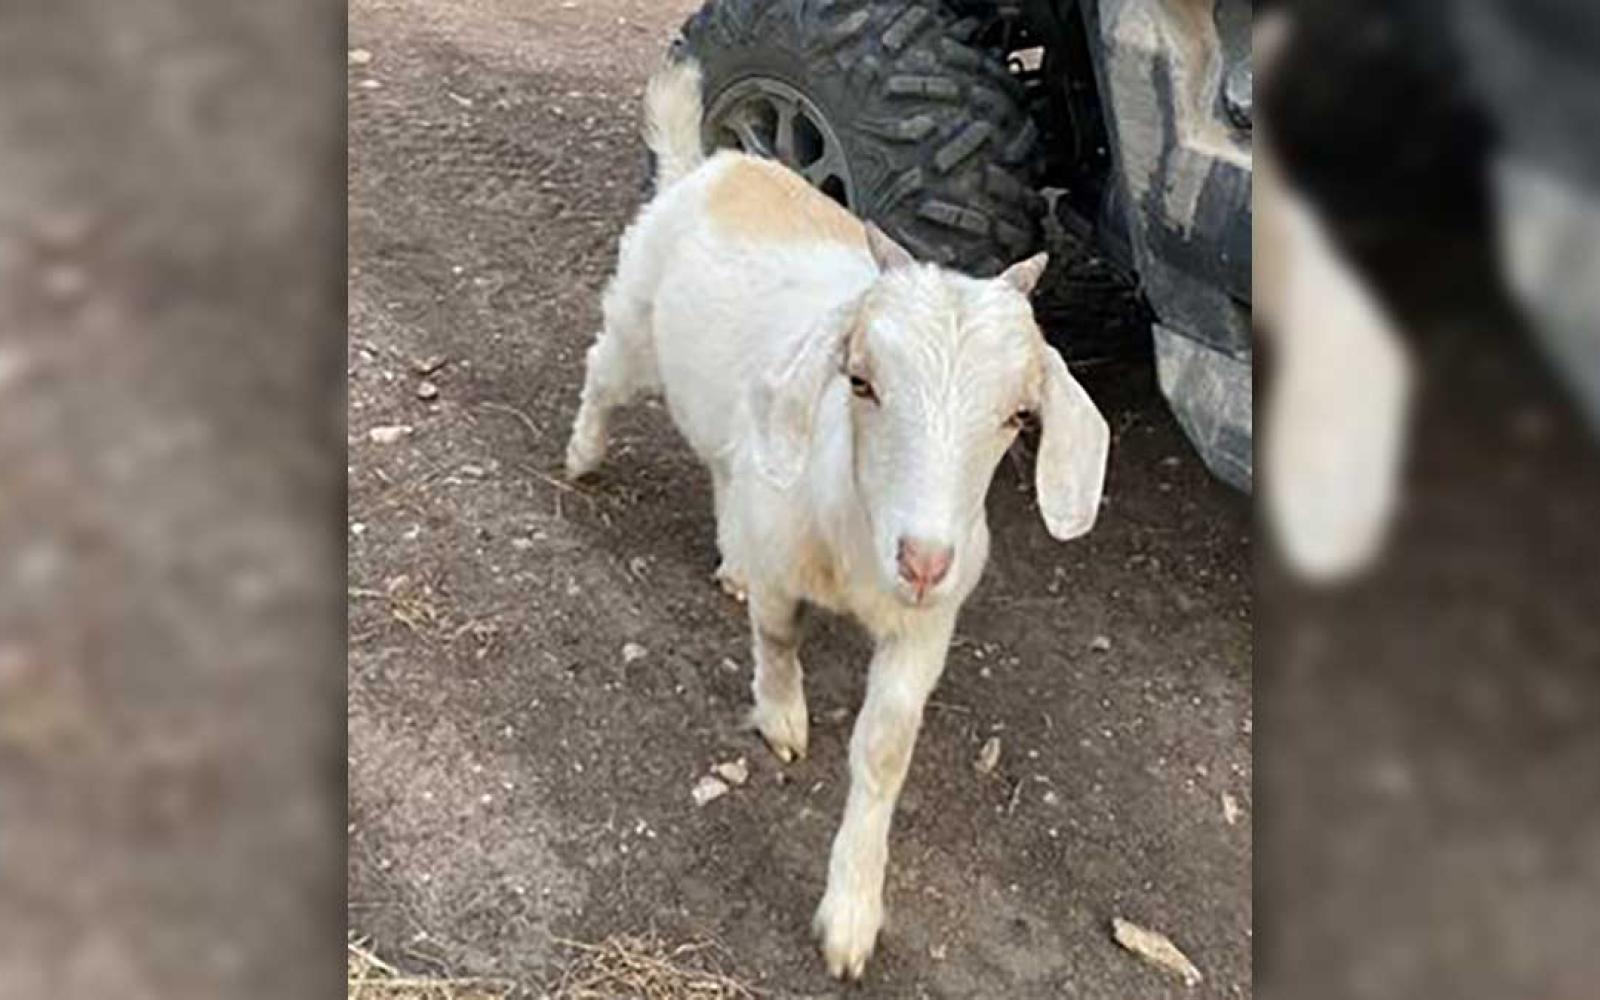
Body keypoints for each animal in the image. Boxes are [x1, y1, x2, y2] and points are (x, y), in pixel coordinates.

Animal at [565, 59, 1110, 980]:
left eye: (1016, 418)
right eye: (861, 381)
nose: (923, 559)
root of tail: (710, 166)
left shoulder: (926, 627)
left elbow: (885, 748)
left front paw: (852, 915)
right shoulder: (790, 563)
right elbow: (777, 638)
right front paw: (783, 720)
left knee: (726, 465)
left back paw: (729, 557)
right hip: (638, 328)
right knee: (604, 373)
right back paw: (581, 454)